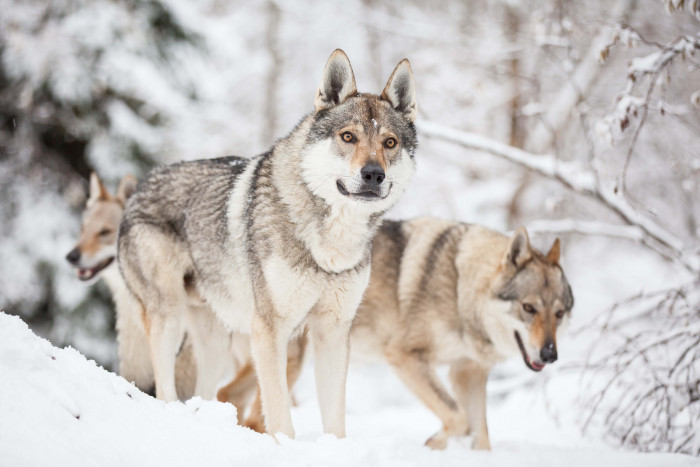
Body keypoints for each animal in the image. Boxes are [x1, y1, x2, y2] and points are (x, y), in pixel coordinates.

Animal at [117, 49, 418, 440]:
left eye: (390, 143)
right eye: (348, 137)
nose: (373, 174)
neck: (330, 243)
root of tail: (137, 189)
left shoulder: (333, 332)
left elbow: (335, 419)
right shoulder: (270, 331)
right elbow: (277, 413)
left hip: (214, 341)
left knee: (206, 391)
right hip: (169, 318)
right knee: (165, 387)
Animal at [220, 217, 576, 450]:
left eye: (559, 314)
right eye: (529, 308)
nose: (550, 355)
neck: (461, 287)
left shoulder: (468, 373)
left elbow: (481, 435)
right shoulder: (406, 358)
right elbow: (459, 419)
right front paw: (433, 444)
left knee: (230, 397)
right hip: (289, 360)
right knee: (250, 412)